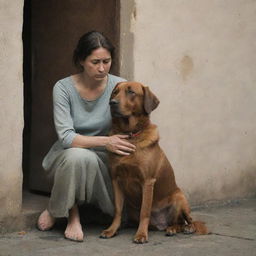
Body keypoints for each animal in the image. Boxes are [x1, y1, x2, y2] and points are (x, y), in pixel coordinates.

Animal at [100, 81, 208, 243]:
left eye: (131, 92)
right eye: (115, 92)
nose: (112, 103)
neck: (130, 135)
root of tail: (161, 224)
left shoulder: (147, 182)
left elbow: (145, 211)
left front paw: (141, 234)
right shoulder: (115, 179)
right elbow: (118, 210)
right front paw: (112, 230)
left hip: (179, 197)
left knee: (188, 220)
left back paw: (184, 228)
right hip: (133, 209)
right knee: (176, 222)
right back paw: (171, 228)